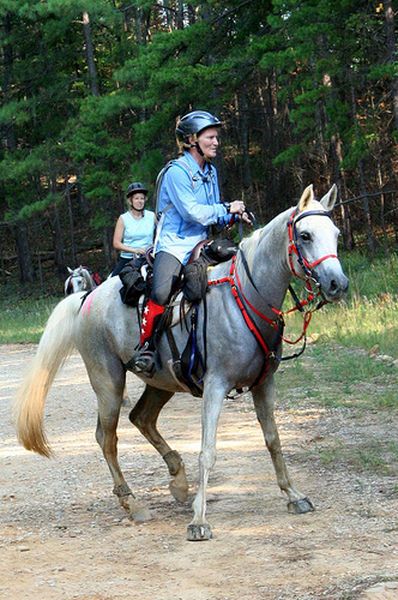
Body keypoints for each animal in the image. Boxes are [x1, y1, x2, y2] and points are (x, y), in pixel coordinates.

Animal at [13, 185, 348, 540]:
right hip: (108, 382)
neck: (245, 296)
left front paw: (293, 495)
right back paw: (133, 502)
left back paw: (178, 479)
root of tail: (86, 298)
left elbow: (273, 440)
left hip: (162, 382)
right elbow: (208, 451)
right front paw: (199, 521)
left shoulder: (264, 383)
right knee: (107, 438)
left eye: (336, 234)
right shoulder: (215, 385)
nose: (337, 284)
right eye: (305, 235)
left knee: (142, 418)